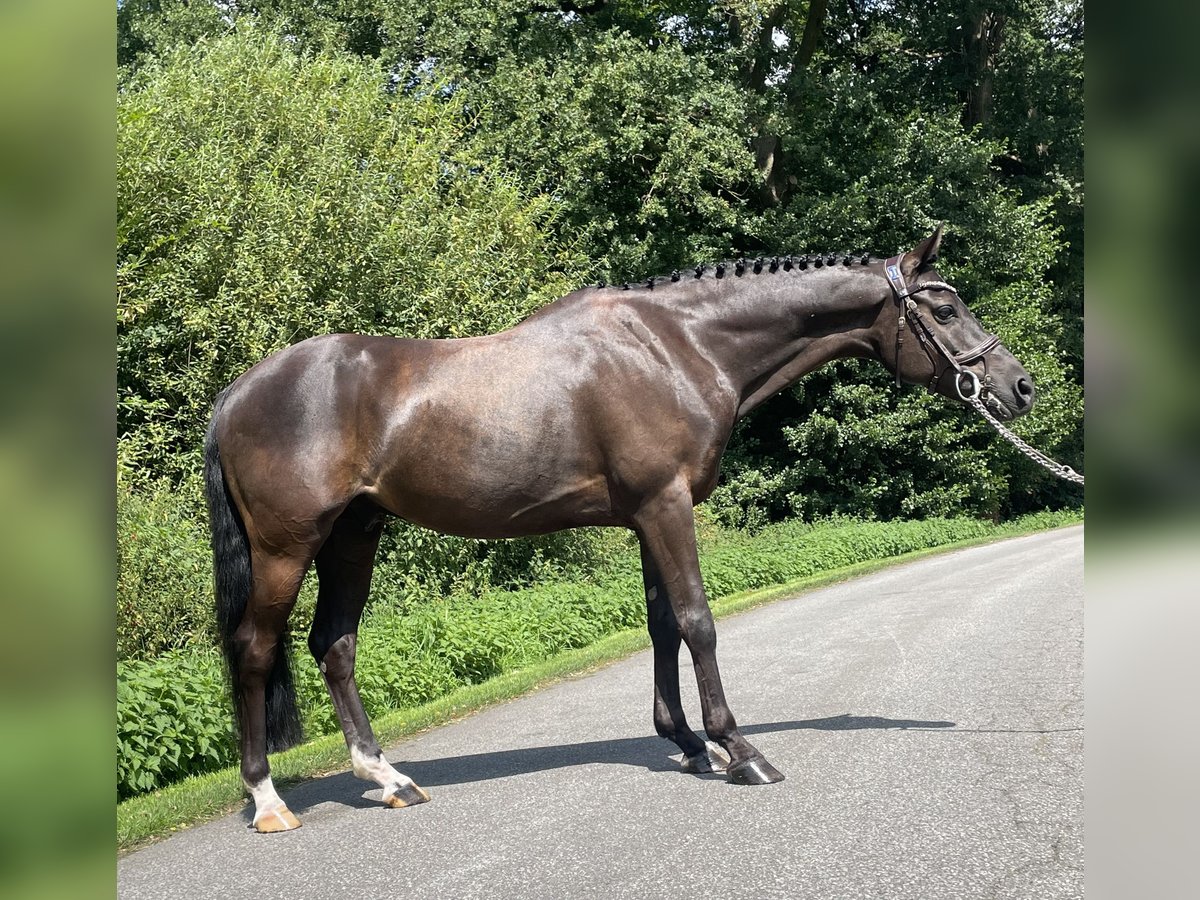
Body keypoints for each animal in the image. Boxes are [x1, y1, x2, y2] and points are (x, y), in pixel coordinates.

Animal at [204, 225, 1032, 830]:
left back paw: (387, 776)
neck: (677, 344)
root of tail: (237, 394)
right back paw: (267, 799)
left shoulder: (644, 515)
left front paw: (688, 743)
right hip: (287, 546)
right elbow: (698, 621)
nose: (1018, 386)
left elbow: (662, 624)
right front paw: (739, 750)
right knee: (255, 649)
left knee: (334, 645)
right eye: (946, 308)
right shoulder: (666, 505)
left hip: (354, 535)